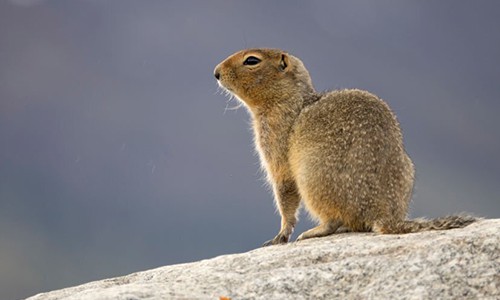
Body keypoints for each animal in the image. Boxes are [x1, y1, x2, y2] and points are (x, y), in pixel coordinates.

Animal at [212, 48, 476, 246]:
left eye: (252, 60)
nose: (216, 72)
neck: (290, 100)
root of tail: (383, 213)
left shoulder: (275, 144)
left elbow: (284, 189)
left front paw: (280, 235)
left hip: (312, 175)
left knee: (333, 219)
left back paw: (314, 231)